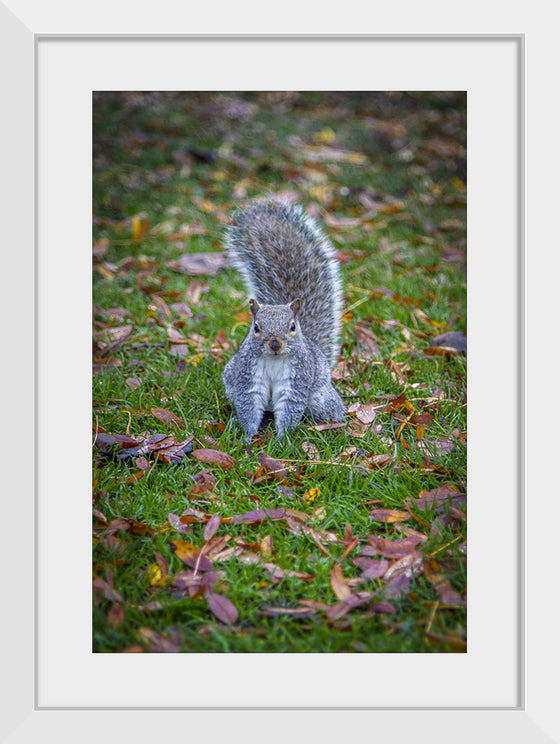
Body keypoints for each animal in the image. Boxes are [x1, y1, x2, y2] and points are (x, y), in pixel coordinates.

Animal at [223, 199, 346, 442]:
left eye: (292, 326)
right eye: (256, 327)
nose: (275, 344)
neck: (274, 360)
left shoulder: (297, 380)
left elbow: (290, 407)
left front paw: (282, 439)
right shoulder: (246, 377)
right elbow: (248, 405)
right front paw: (249, 436)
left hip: (320, 398)